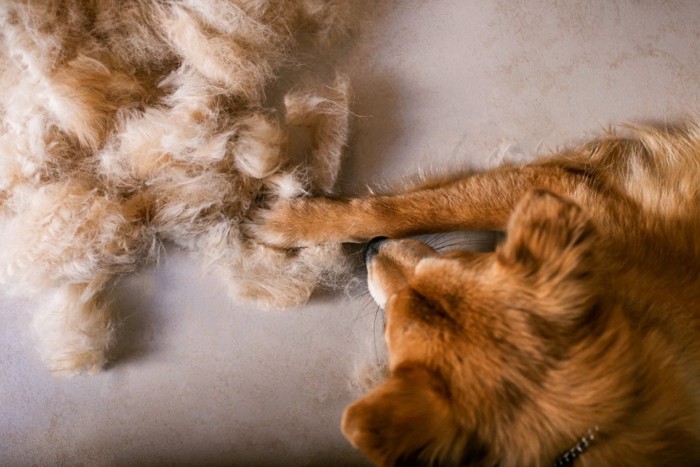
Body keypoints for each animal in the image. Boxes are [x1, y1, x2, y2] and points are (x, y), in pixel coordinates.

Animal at [256, 122, 700, 466]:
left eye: (390, 331)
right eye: (458, 260)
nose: (373, 249)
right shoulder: (560, 189)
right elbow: (407, 210)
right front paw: (297, 222)